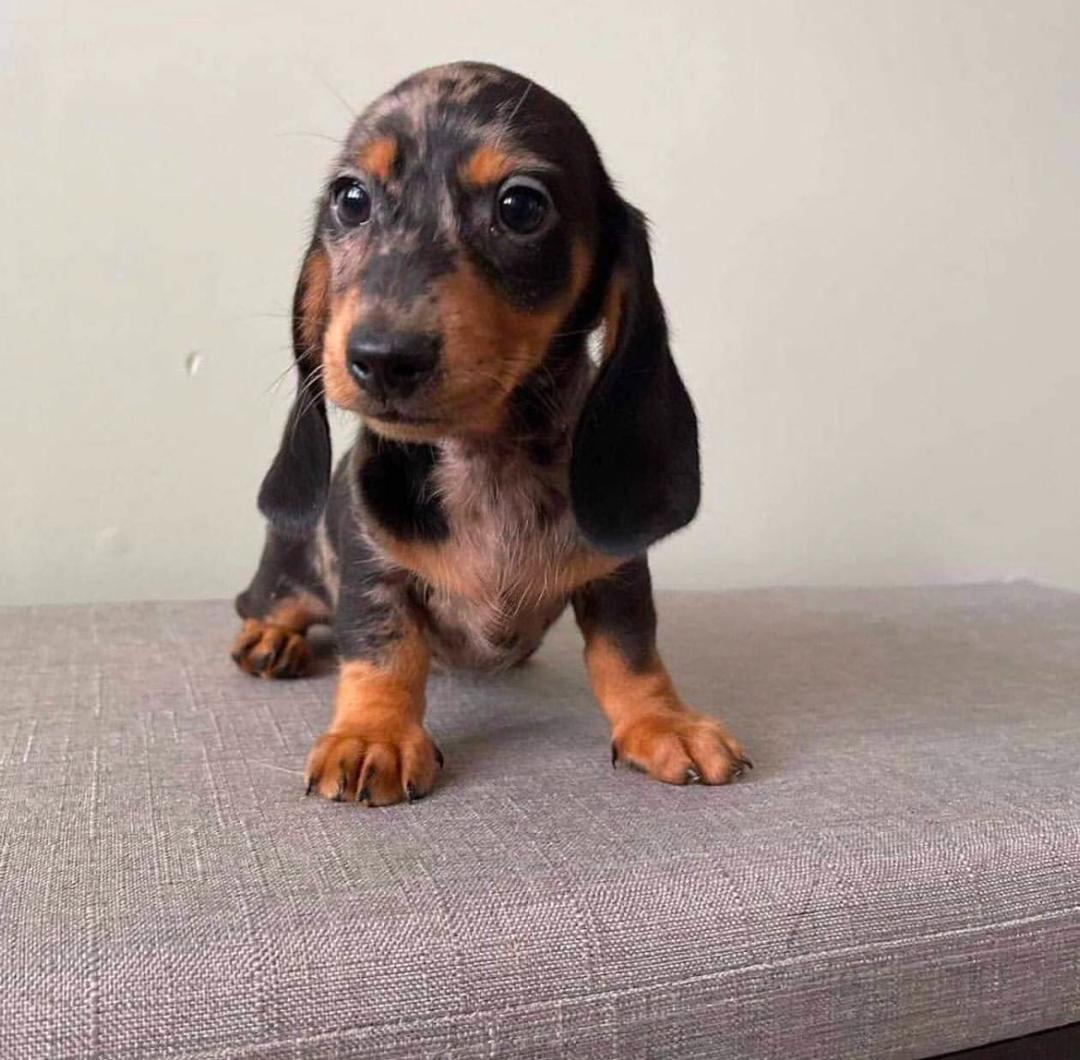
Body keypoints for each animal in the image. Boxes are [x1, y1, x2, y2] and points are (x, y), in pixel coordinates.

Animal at [232, 62, 749, 805]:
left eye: (521, 206)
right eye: (350, 199)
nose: (382, 357)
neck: (487, 458)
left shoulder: (617, 573)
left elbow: (630, 653)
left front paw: (664, 721)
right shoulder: (370, 565)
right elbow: (383, 648)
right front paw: (373, 734)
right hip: (290, 566)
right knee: (271, 601)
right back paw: (272, 637)